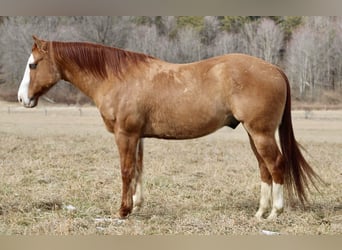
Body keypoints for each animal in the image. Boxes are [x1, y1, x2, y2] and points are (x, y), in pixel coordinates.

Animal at [16, 36, 320, 220]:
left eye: (33, 65)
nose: (21, 99)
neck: (118, 78)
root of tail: (275, 70)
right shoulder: (137, 136)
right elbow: (138, 169)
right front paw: (136, 205)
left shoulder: (125, 135)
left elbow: (126, 171)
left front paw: (123, 211)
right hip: (253, 134)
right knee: (264, 168)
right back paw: (260, 213)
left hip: (261, 133)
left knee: (276, 165)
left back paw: (275, 213)